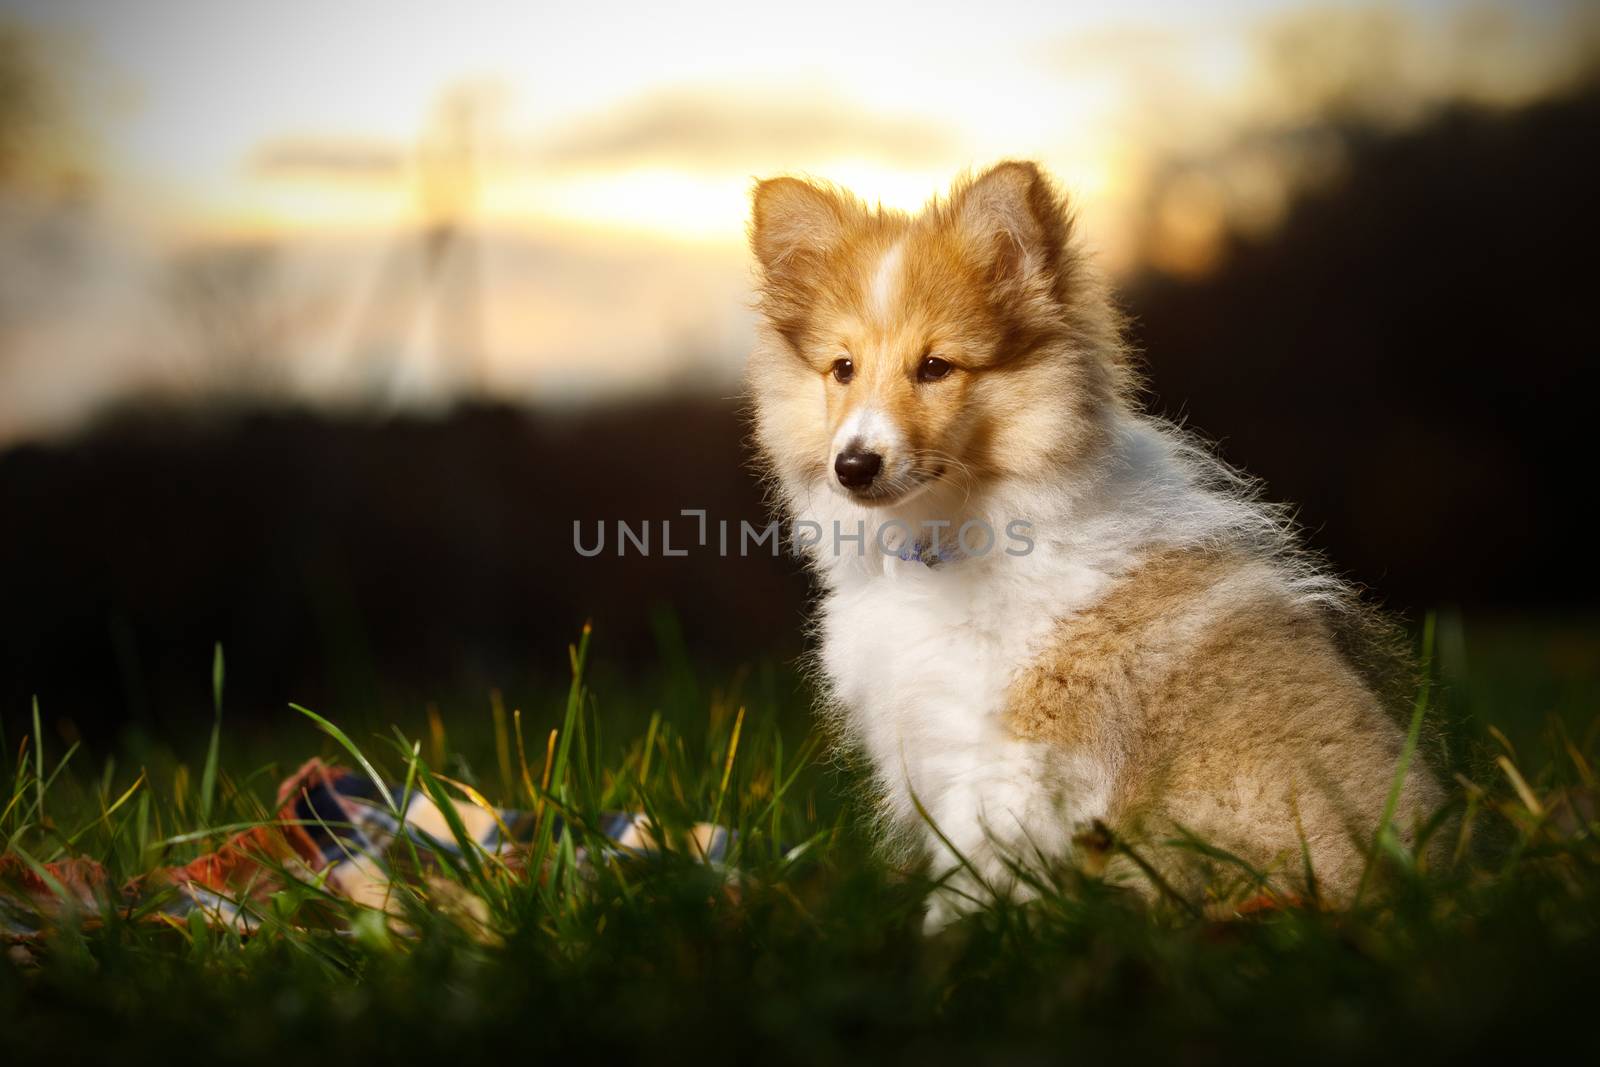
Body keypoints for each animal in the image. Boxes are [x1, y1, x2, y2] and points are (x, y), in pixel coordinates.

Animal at [742, 158, 1446, 927]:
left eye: (935, 367)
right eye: (842, 368)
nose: (854, 465)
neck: (953, 533)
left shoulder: (1013, 754)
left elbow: (967, 879)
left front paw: (952, 947)